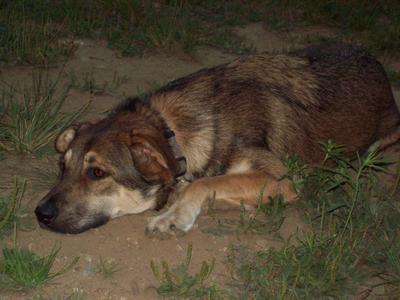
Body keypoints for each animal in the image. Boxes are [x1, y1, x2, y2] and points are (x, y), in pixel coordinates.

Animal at [35, 44, 400, 234]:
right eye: (62, 167)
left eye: (97, 173)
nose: (40, 213)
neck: (175, 133)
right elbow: (211, 184)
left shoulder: (281, 178)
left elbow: (204, 183)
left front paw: (174, 215)